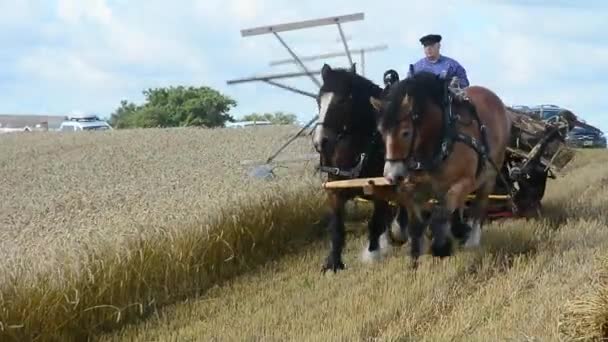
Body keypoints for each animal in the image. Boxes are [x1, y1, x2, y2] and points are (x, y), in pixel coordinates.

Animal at [368, 69, 510, 266]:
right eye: (382, 132)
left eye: (406, 133)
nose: (391, 175)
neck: (441, 141)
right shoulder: (412, 187)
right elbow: (416, 224)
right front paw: (415, 257)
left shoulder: (464, 182)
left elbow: (440, 215)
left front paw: (441, 248)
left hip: (489, 176)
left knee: (479, 207)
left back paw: (471, 241)